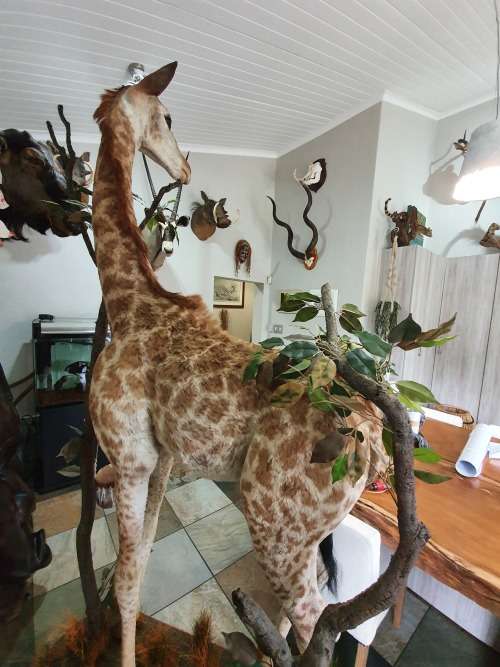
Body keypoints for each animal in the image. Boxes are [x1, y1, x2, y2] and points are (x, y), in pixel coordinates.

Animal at [89, 62, 387, 667]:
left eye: (168, 116)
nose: (183, 165)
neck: (129, 304)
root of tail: (372, 442)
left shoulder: (129, 457)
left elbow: (126, 584)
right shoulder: (161, 461)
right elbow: (141, 567)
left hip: (274, 521)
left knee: (315, 621)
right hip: (306, 532)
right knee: (303, 613)